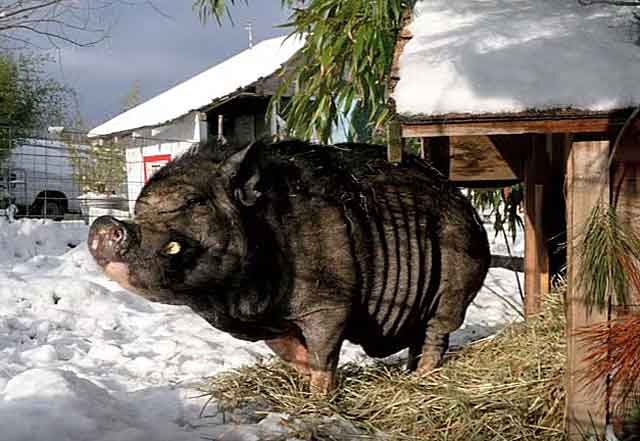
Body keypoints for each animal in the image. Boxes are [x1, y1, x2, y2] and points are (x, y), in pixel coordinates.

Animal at [87, 140, 490, 392]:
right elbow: (293, 353)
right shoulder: (272, 323)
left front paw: (319, 398)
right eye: (140, 208)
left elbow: (324, 354)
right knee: (421, 338)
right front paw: (303, 377)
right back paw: (410, 373)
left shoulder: (330, 302)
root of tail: (466, 206)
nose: (105, 223)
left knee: (437, 333)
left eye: (191, 202)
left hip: (457, 282)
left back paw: (421, 379)